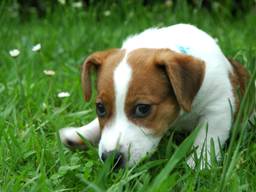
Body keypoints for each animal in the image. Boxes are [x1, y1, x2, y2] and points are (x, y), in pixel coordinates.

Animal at [58, 23, 248, 168]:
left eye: (143, 108)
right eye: (100, 108)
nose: (111, 159)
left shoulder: (218, 107)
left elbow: (208, 139)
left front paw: (197, 165)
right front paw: (81, 133)